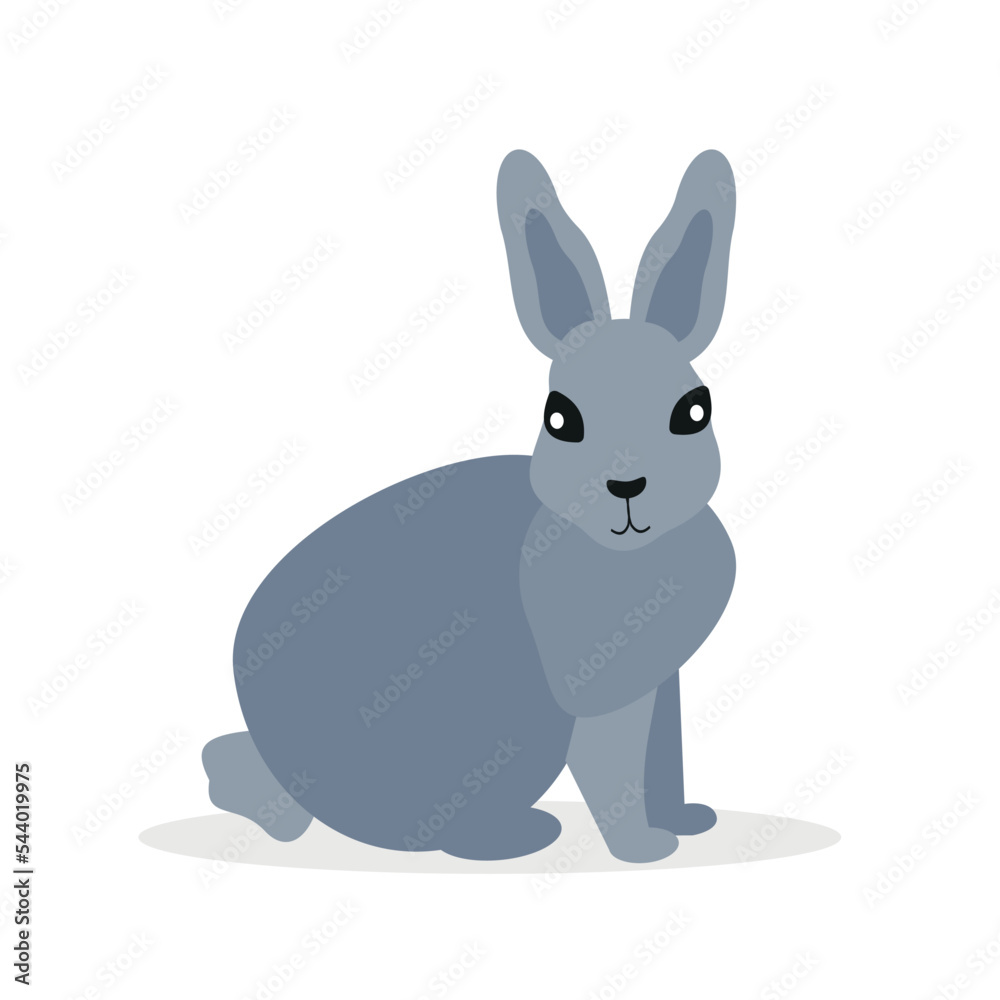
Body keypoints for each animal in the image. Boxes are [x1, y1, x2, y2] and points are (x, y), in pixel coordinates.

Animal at [203, 148, 737, 864]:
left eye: (695, 411)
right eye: (559, 418)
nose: (626, 486)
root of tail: (290, 785)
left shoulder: (660, 682)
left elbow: (664, 755)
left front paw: (686, 821)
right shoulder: (597, 691)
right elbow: (614, 763)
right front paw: (644, 850)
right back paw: (520, 836)